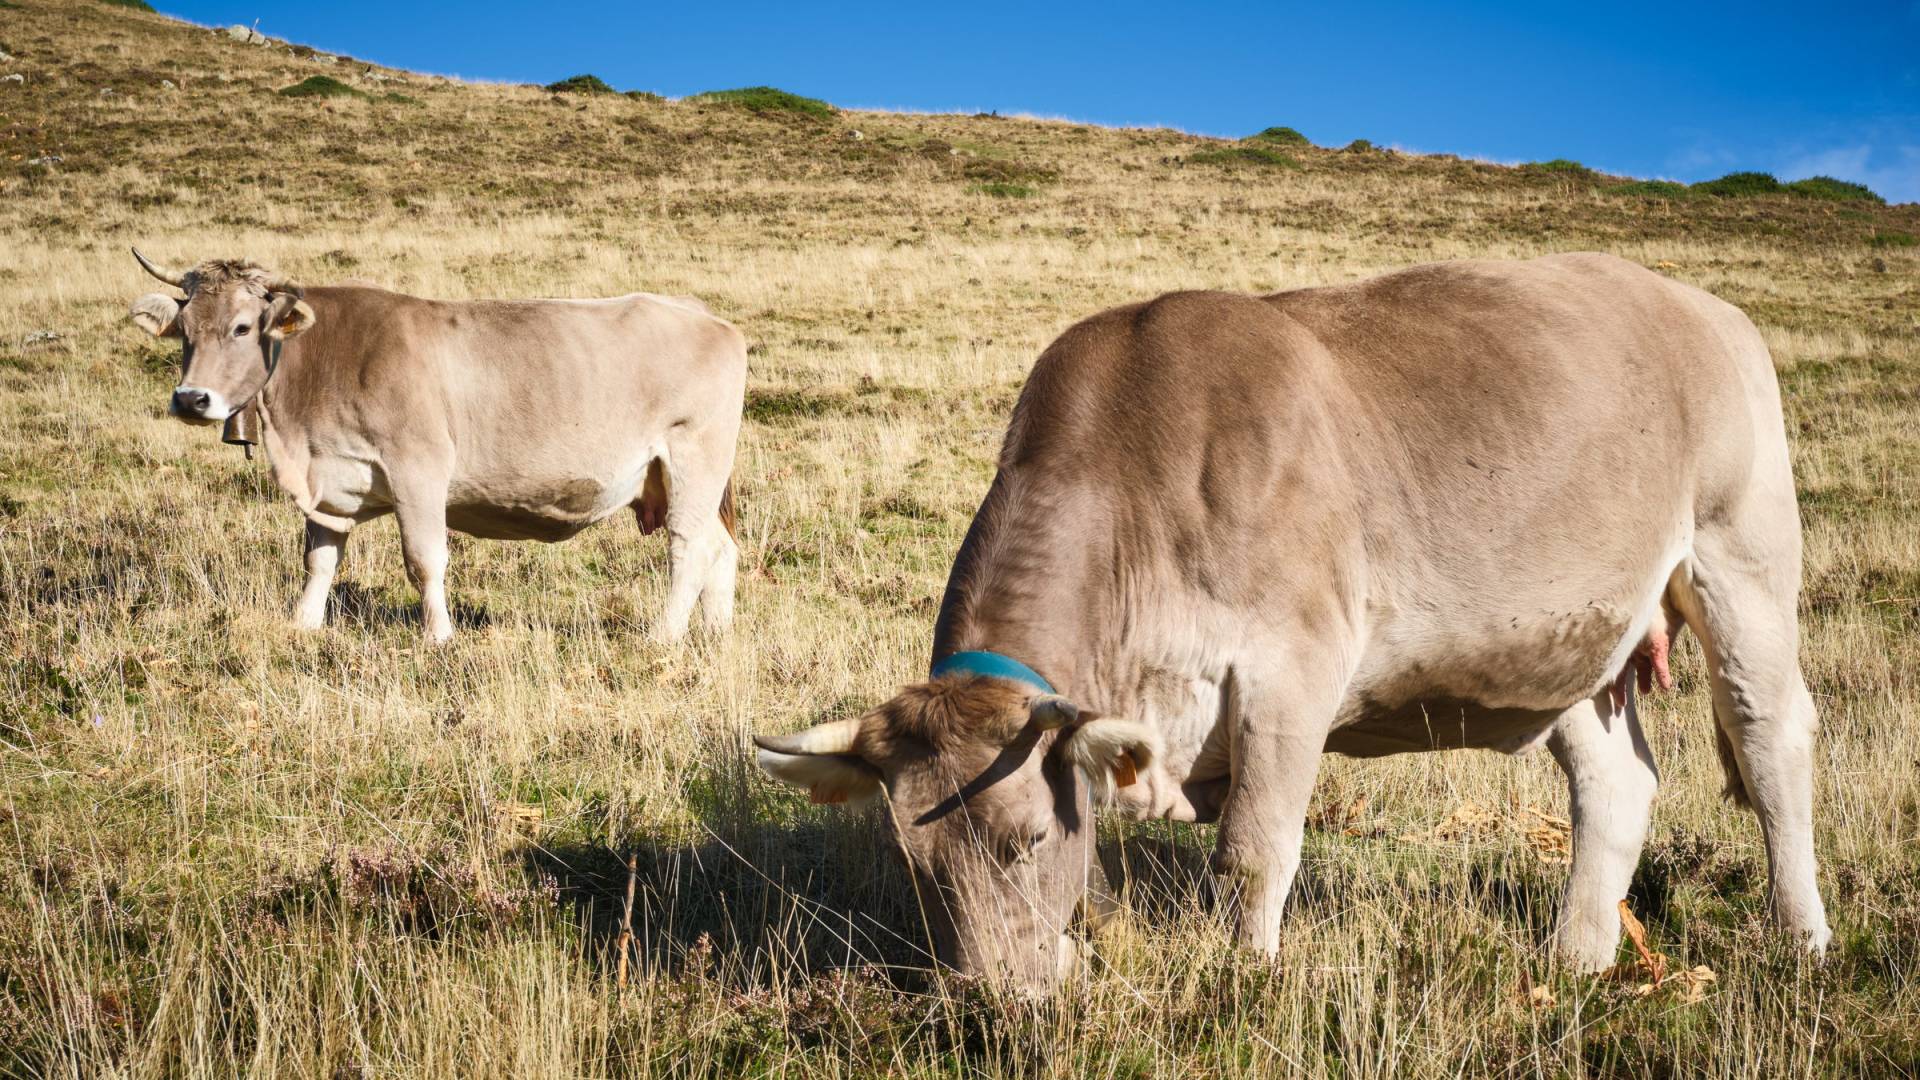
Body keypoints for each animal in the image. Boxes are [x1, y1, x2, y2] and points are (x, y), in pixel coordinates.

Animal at [126, 249, 745, 643]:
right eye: (184, 330)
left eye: (242, 327)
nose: (191, 399)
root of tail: (699, 311)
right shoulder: (330, 482)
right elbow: (319, 560)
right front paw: (303, 625)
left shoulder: (418, 469)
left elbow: (425, 559)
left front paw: (439, 637)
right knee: (721, 548)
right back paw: (716, 633)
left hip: (693, 458)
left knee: (689, 547)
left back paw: (664, 637)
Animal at [755, 252, 1831, 991]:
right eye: (915, 866)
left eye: (1021, 842)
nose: (990, 999)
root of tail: (1701, 305)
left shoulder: (1292, 669)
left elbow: (1253, 849)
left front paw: (1248, 979)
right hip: (1575, 644)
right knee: (1616, 784)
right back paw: (1577, 959)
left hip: (1742, 556)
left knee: (1772, 742)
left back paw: (1804, 937)